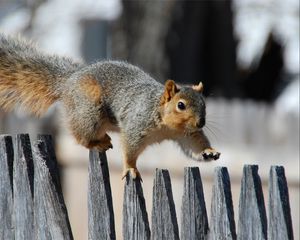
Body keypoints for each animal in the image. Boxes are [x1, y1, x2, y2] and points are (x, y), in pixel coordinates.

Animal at [0, 34, 220, 179]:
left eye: (204, 104)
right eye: (180, 105)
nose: (201, 123)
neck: (167, 125)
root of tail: (69, 81)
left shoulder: (186, 134)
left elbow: (194, 146)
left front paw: (208, 152)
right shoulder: (136, 126)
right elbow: (130, 149)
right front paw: (131, 169)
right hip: (89, 111)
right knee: (80, 136)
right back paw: (97, 143)